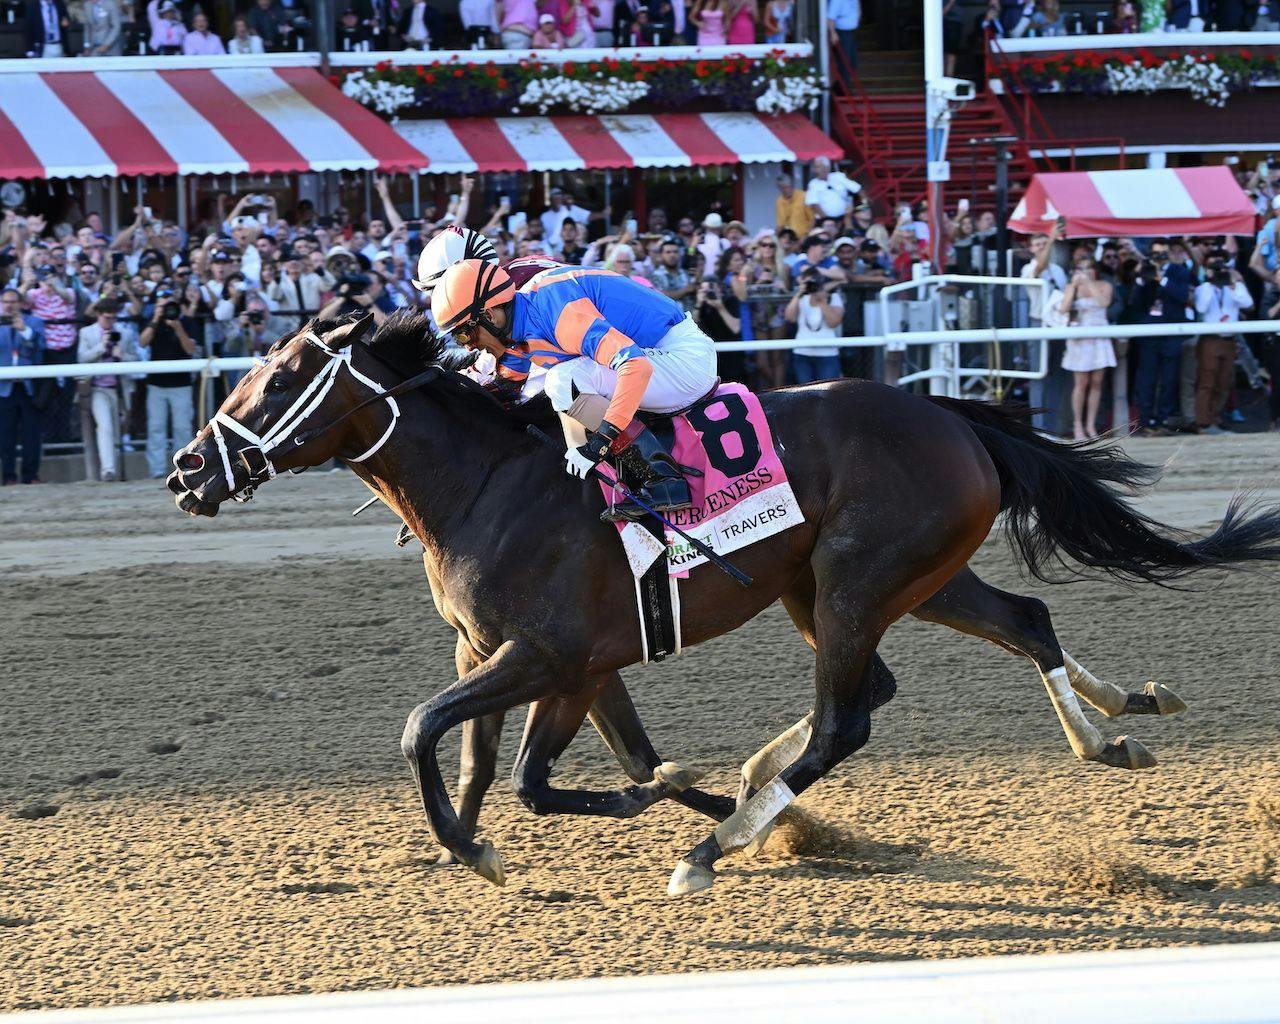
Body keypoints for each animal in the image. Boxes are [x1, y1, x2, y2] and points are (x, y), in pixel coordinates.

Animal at [165, 313, 1280, 896]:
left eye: (280, 380)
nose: (184, 471)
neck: (487, 484)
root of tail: (952, 415)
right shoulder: (527, 657)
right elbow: (501, 762)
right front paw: (471, 845)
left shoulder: (552, 658)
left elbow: (469, 751)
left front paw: (680, 809)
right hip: (872, 580)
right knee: (1007, 629)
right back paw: (1113, 726)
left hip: (856, 580)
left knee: (846, 717)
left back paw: (719, 842)